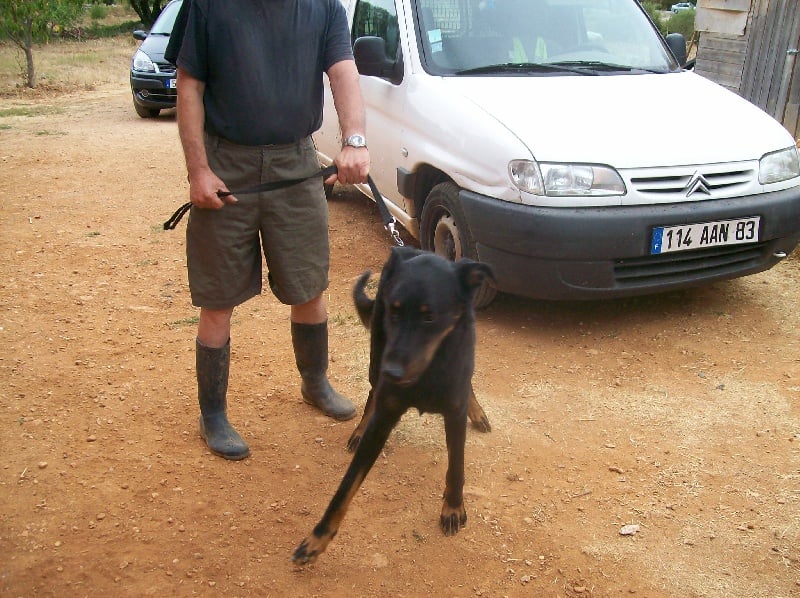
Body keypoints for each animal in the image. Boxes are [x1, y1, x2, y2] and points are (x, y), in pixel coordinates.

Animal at [292, 246, 494, 564]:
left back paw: (477, 411)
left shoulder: (454, 410)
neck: (427, 371)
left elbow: (456, 466)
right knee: (372, 394)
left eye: (429, 317)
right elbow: (345, 487)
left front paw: (452, 508)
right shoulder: (386, 412)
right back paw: (359, 429)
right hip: (376, 355)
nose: (393, 373)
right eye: (394, 311)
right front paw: (318, 538)